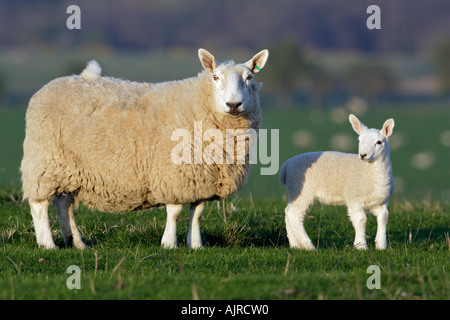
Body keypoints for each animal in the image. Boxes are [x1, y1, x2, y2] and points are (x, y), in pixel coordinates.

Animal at [20, 48, 268, 251]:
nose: (233, 105)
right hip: (45, 161)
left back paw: (77, 243)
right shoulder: (173, 173)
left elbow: (197, 213)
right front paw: (169, 244)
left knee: (64, 205)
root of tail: (50, 86)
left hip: (69, 169)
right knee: (39, 204)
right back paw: (48, 244)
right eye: (216, 77)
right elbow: (175, 212)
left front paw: (195, 245)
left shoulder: (201, 178)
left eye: (250, 77)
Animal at [280, 114, 396, 250]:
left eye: (379, 142)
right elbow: (361, 220)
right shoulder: (353, 199)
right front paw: (361, 246)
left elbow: (383, 218)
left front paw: (381, 245)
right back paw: (309, 246)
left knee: (288, 212)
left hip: (294, 191)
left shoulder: (381, 202)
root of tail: (286, 166)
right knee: (294, 215)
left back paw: (295, 244)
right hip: (302, 191)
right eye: (359, 140)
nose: (363, 155)